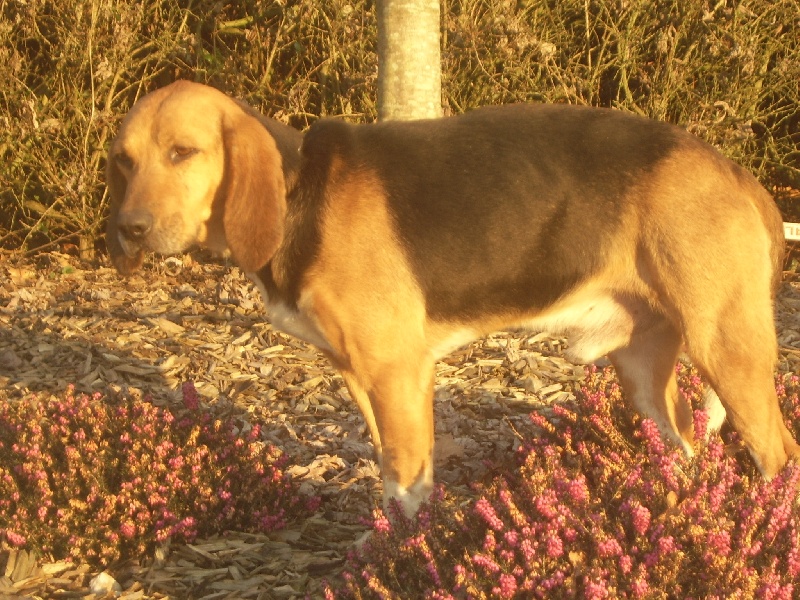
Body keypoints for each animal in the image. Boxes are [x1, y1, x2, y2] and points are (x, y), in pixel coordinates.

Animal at [106, 81, 800, 516]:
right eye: (124, 161)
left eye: (183, 153)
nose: (129, 230)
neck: (301, 188)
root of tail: (738, 174)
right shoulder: (362, 378)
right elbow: (388, 476)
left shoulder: (399, 374)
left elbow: (409, 486)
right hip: (642, 371)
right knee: (685, 446)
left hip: (727, 353)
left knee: (778, 455)